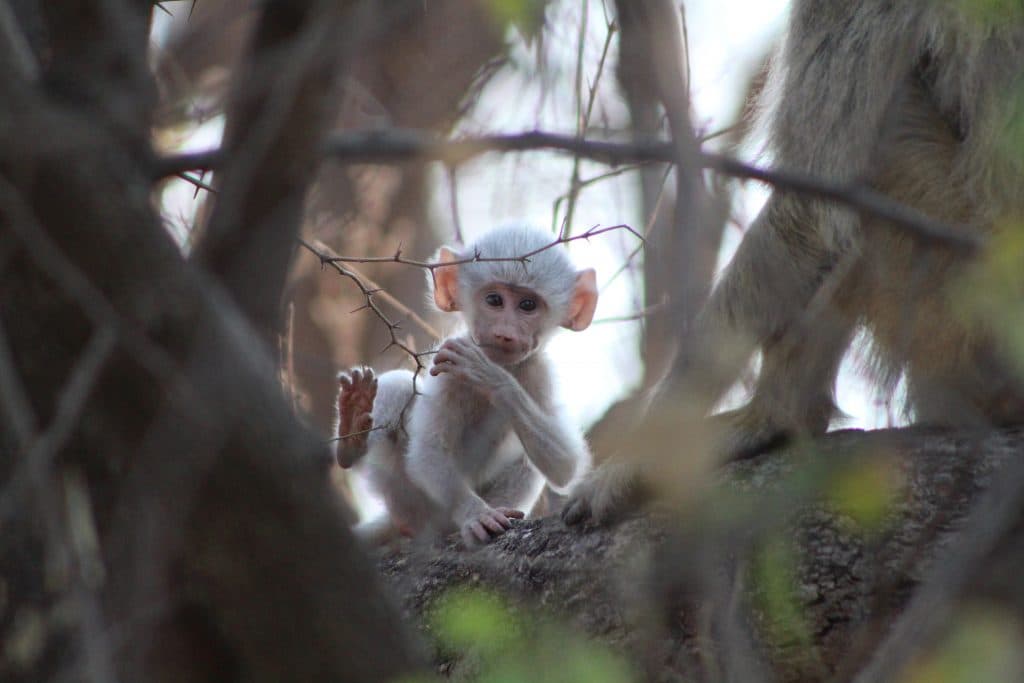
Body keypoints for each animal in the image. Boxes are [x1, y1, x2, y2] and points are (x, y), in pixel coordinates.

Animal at [336, 225, 598, 545]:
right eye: (494, 300)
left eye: (527, 305)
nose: (505, 333)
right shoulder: (448, 367)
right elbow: (429, 451)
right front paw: (476, 514)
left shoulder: (539, 371)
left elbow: (565, 465)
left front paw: (490, 375)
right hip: (404, 494)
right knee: (398, 387)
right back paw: (352, 435)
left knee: (527, 458)